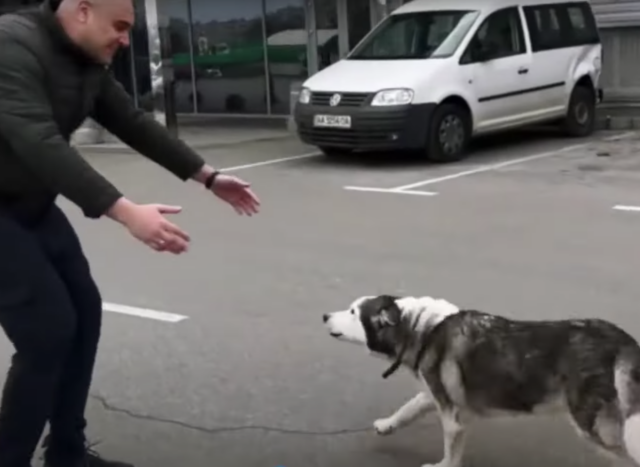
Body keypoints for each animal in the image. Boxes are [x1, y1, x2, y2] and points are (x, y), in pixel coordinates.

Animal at [322, 296, 640, 467]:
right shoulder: (437, 395)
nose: (324, 315)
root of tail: (621, 340)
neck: (421, 327)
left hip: (597, 428)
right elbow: (408, 408)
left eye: (353, 311)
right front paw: (387, 425)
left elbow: (451, 457)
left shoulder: (452, 419)